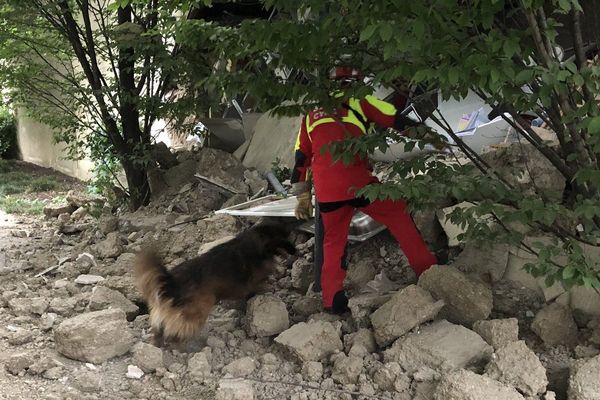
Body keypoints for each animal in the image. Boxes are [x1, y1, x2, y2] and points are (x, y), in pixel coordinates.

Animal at [135, 222, 296, 346]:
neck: (253, 243)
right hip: (197, 312)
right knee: (176, 329)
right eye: (284, 238)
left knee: (159, 330)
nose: (295, 251)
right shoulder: (253, 281)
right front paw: (267, 289)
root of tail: (171, 282)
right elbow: (259, 286)